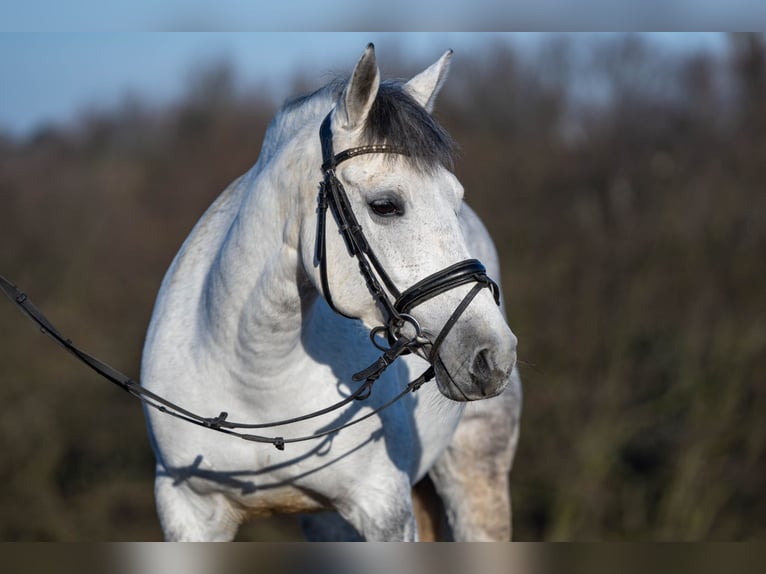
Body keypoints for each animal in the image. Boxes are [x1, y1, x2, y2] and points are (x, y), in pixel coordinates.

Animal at [141, 45, 524, 544]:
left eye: (455, 198)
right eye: (385, 206)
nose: (492, 354)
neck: (254, 377)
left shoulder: (384, 512)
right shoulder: (189, 514)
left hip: (475, 468)